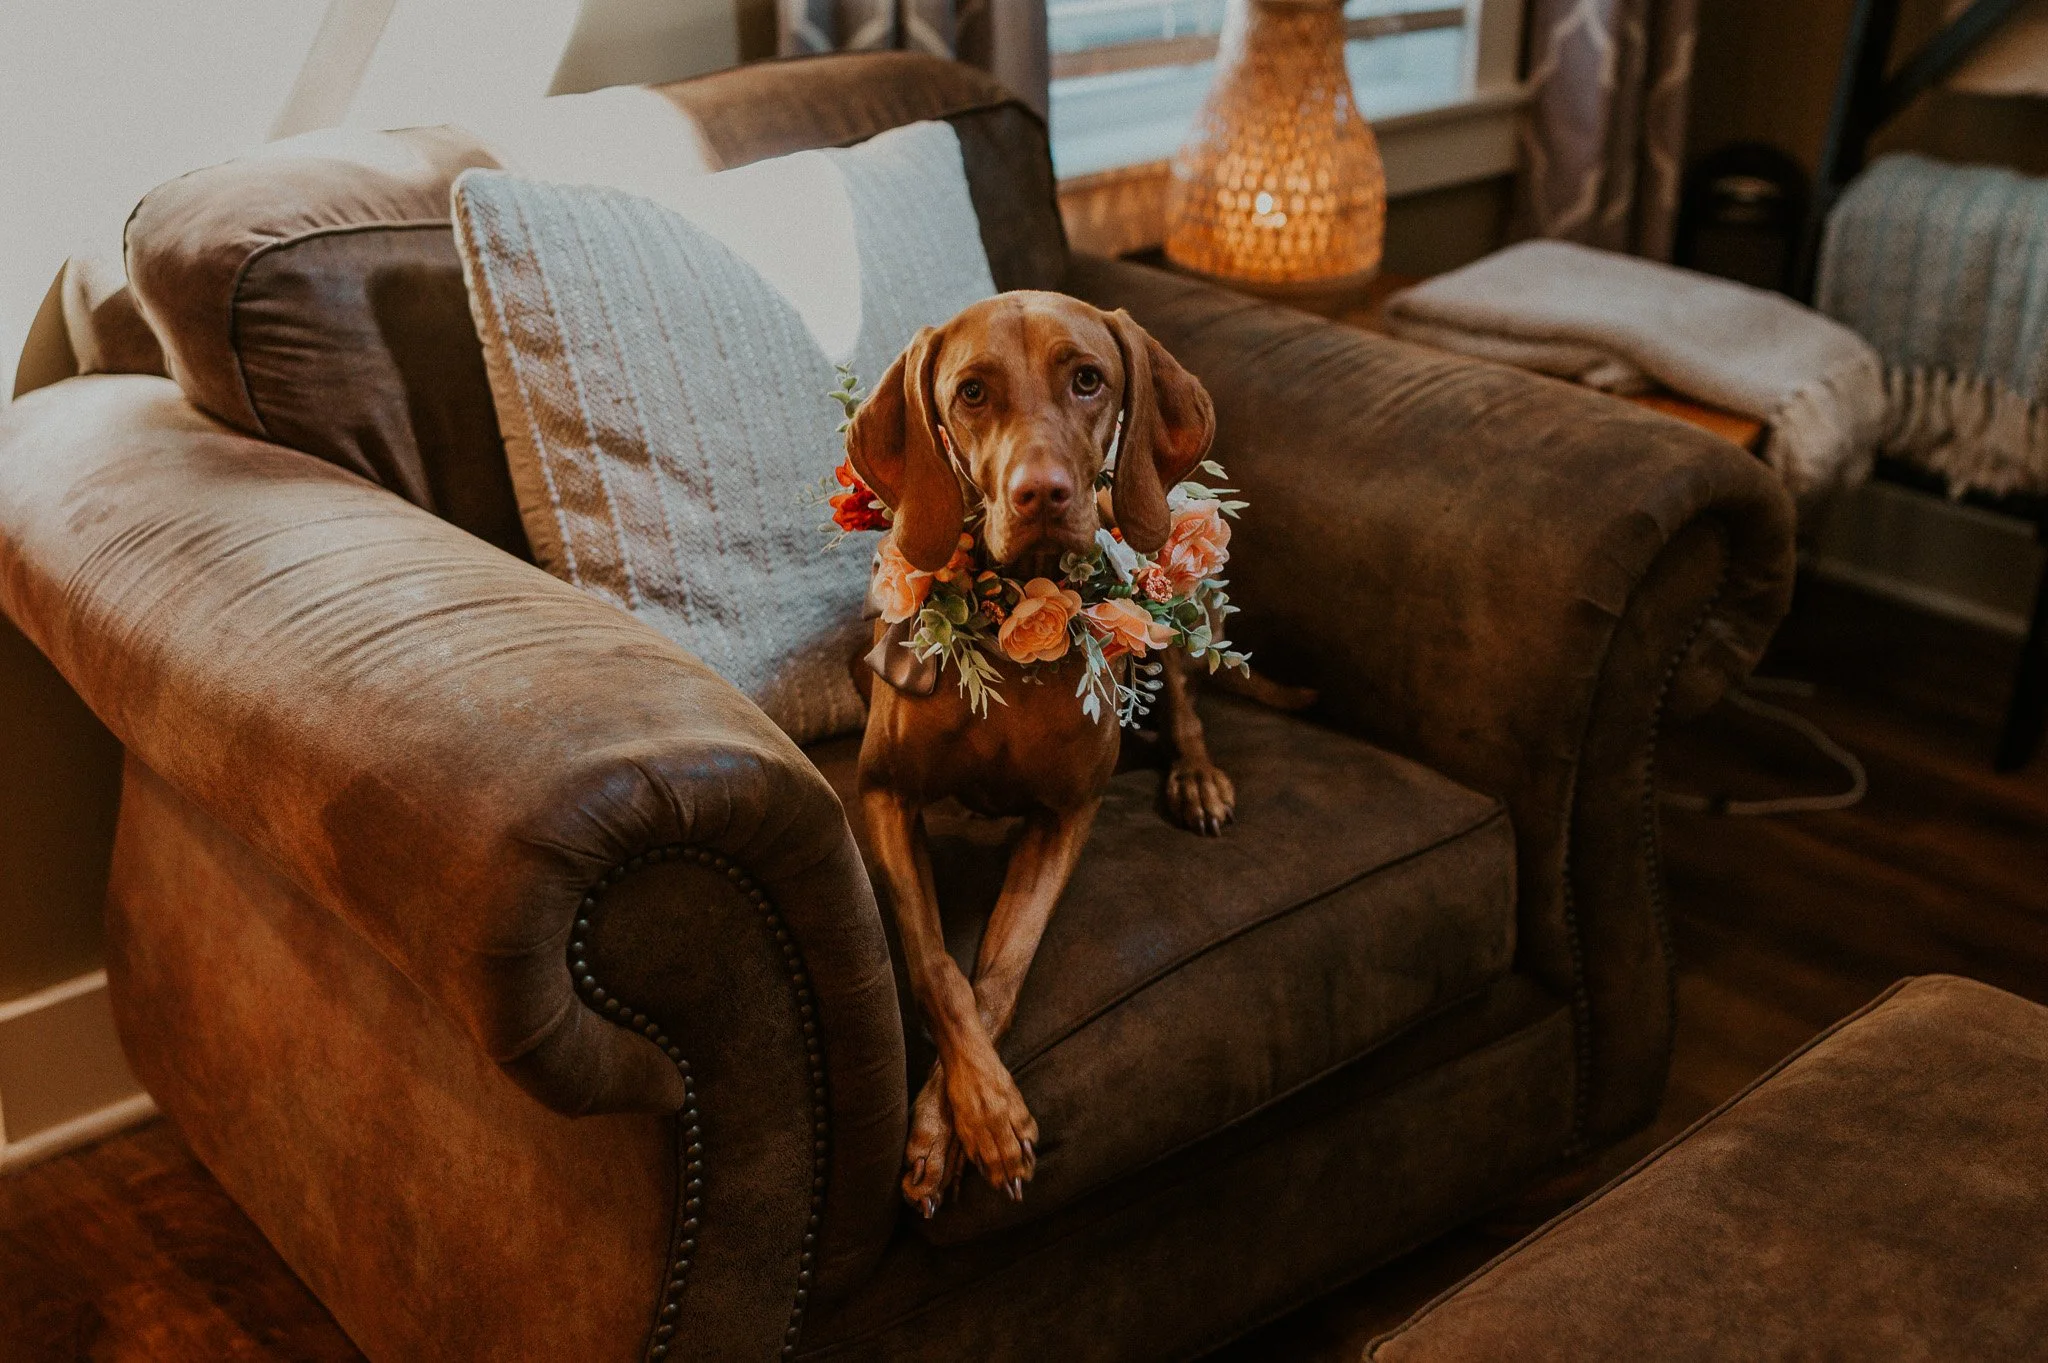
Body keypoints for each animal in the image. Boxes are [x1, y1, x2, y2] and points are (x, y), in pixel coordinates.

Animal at [843, 292, 1228, 1203]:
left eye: (1088, 378)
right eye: (972, 392)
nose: (1042, 494)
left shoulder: (1066, 813)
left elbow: (999, 971)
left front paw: (961, 1122)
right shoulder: (883, 796)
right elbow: (937, 967)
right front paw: (966, 1117)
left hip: (1170, 613)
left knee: (1186, 699)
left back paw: (1198, 778)